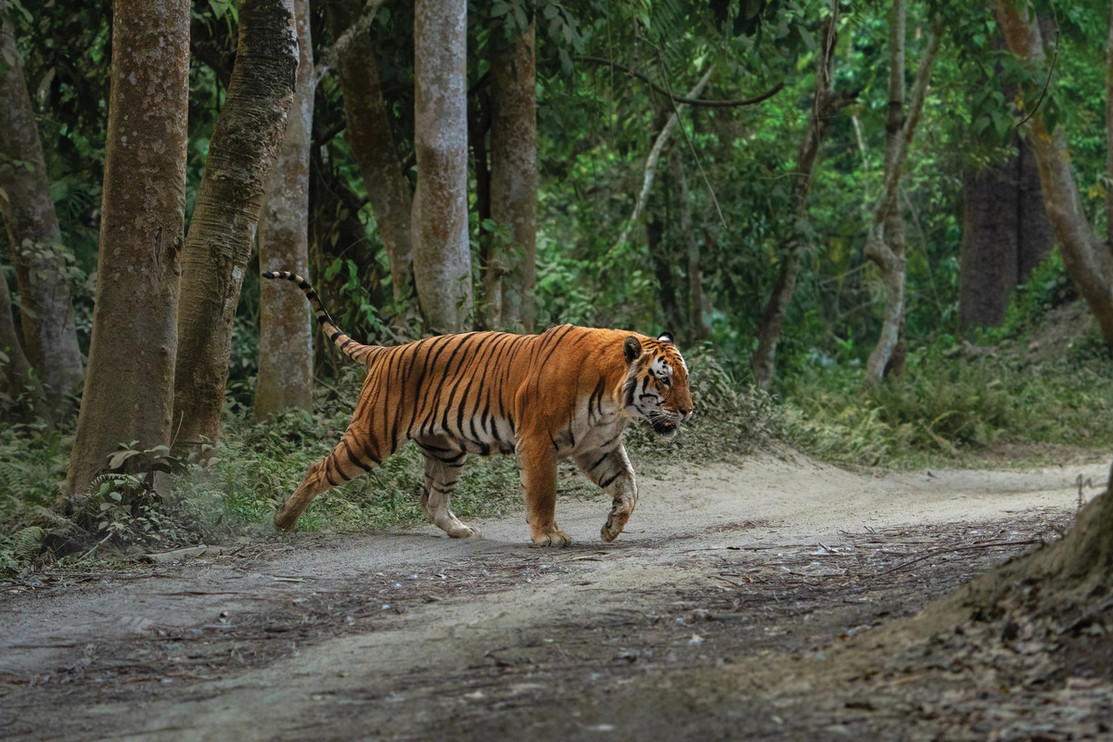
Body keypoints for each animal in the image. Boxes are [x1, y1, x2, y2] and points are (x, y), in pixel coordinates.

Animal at [263, 270, 694, 547]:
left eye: (685, 378)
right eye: (664, 379)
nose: (689, 410)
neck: (612, 403)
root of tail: (385, 351)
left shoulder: (598, 447)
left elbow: (629, 486)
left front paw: (611, 528)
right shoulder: (537, 441)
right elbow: (544, 493)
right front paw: (548, 536)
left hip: (445, 450)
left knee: (431, 498)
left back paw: (463, 532)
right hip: (371, 437)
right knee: (318, 469)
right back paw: (282, 521)